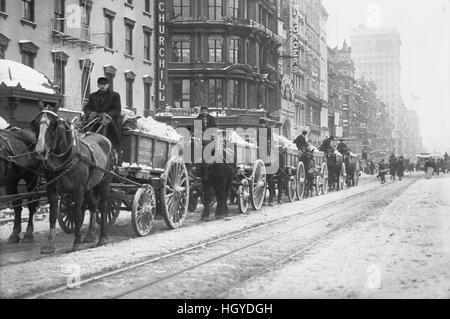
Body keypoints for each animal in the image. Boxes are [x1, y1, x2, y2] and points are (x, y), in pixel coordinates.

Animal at [31, 109, 113, 254]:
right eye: (35, 124)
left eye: (53, 124)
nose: (39, 151)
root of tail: (105, 139)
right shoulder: (51, 189)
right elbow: (53, 215)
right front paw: (49, 245)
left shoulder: (78, 188)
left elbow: (77, 213)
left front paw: (77, 242)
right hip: (89, 187)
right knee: (93, 206)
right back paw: (90, 234)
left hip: (104, 181)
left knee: (103, 207)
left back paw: (103, 237)